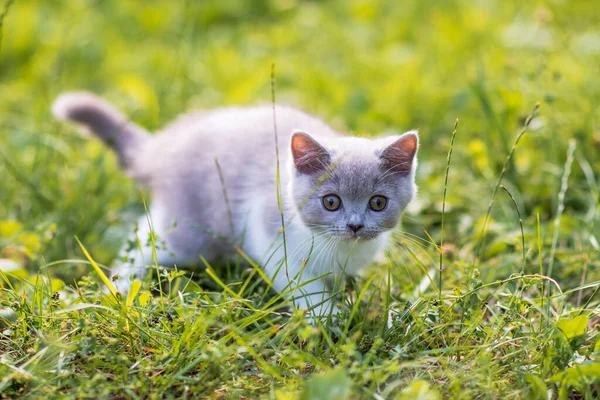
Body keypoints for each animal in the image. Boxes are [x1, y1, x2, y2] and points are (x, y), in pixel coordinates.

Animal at [52, 93, 418, 318]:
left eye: (377, 202)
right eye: (331, 202)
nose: (355, 225)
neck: (338, 248)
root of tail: (165, 147)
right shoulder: (275, 243)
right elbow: (305, 288)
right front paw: (328, 319)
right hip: (188, 231)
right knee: (143, 241)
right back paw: (122, 287)